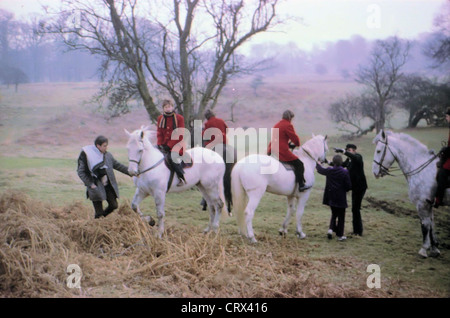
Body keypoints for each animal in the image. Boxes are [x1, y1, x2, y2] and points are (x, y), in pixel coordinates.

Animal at [370, 130, 442, 258]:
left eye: (378, 151)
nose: (374, 172)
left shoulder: (422, 203)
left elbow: (425, 225)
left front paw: (424, 249)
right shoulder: (429, 204)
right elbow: (431, 225)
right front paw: (434, 248)